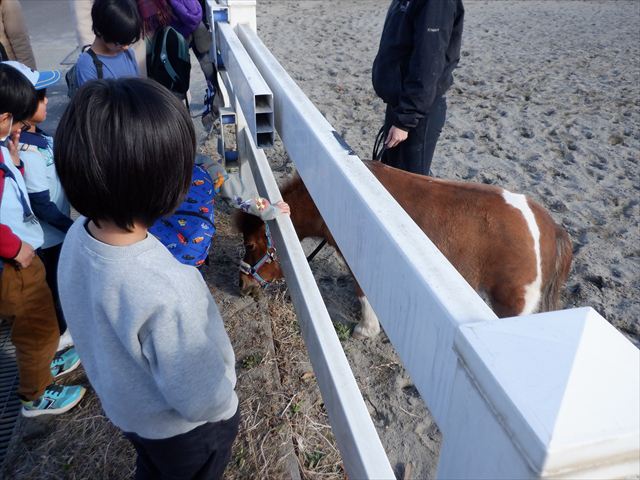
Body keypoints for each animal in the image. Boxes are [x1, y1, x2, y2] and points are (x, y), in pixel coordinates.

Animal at [236, 161, 576, 338]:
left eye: (250, 244)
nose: (242, 285)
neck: (342, 194)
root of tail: (548, 226)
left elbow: (363, 294)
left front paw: (366, 329)